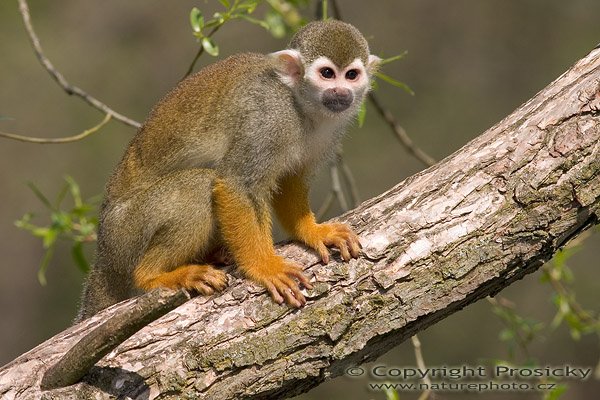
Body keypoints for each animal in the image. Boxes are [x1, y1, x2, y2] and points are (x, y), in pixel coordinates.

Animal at [76, 19, 380, 322]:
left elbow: (291, 179)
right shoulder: (268, 117)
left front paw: (313, 231)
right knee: (198, 187)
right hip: (127, 230)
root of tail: (103, 252)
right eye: (327, 73)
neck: (301, 105)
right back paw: (154, 276)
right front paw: (265, 267)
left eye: (351, 75)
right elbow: (237, 184)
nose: (341, 92)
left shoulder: (330, 130)